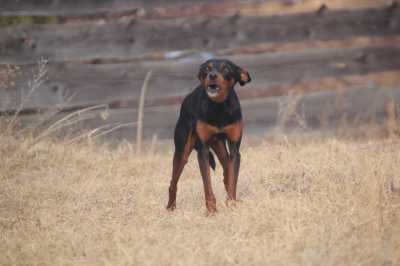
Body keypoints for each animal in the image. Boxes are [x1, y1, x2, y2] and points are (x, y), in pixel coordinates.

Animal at [166, 58, 250, 214]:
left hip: (219, 146)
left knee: (227, 170)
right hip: (182, 151)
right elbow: (207, 184)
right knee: (173, 182)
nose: (212, 75)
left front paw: (232, 203)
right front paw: (211, 210)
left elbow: (232, 179)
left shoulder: (235, 150)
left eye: (226, 69)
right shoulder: (203, 151)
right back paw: (170, 207)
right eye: (207, 68)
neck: (219, 107)